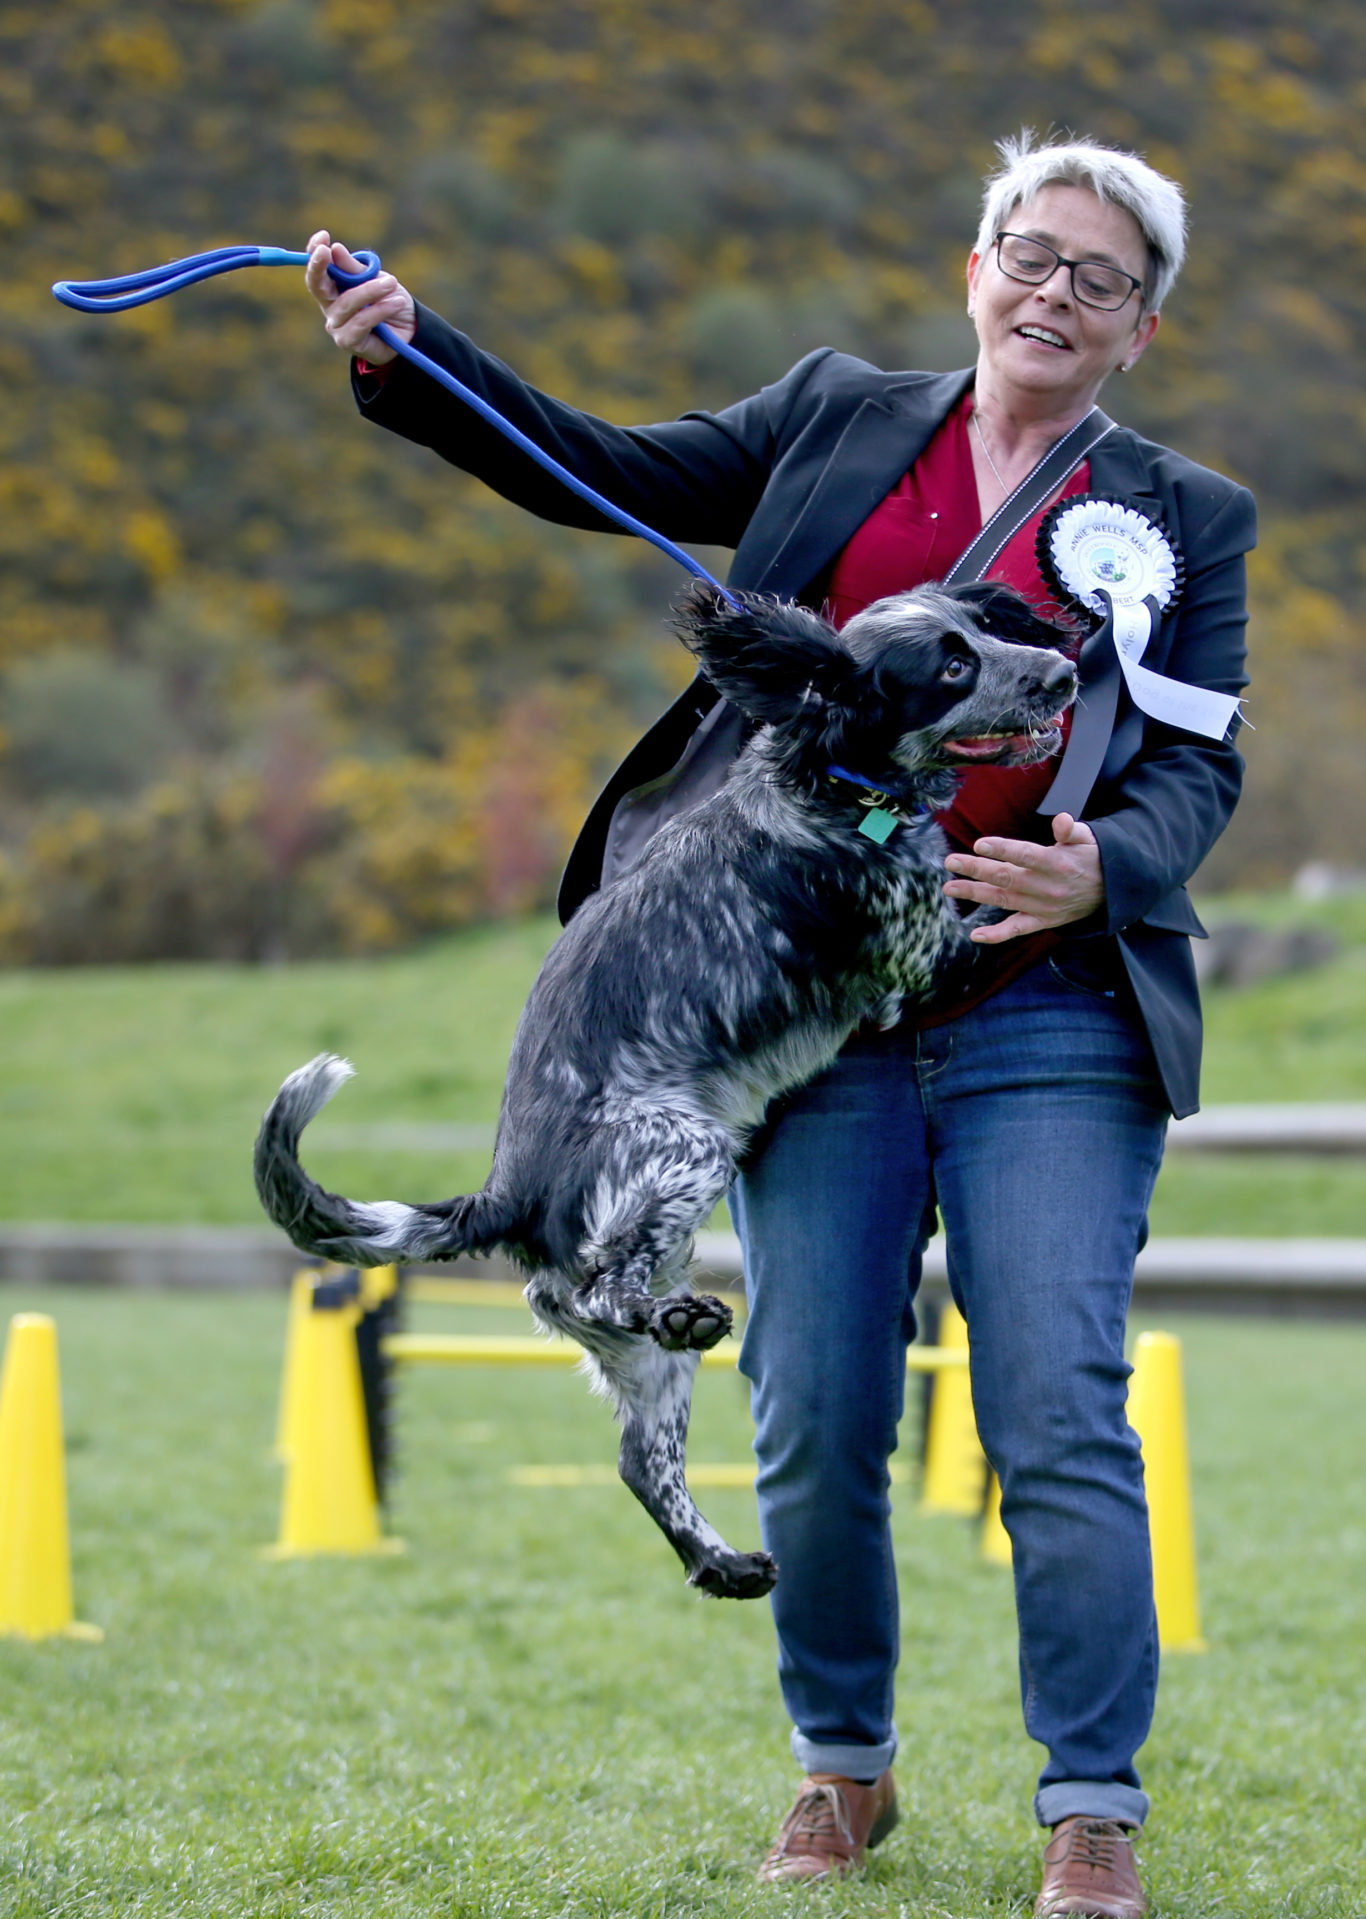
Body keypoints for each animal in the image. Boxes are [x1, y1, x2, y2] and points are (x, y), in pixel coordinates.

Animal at [251, 583, 1074, 1604]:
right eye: (953, 665)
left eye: (990, 629)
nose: (1065, 673)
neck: (831, 786)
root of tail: (507, 1192)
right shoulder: (925, 958)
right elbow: (1013, 913)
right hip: (684, 1153)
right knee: (604, 1290)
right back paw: (686, 1319)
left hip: (651, 1330)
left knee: (642, 1461)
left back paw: (725, 1560)